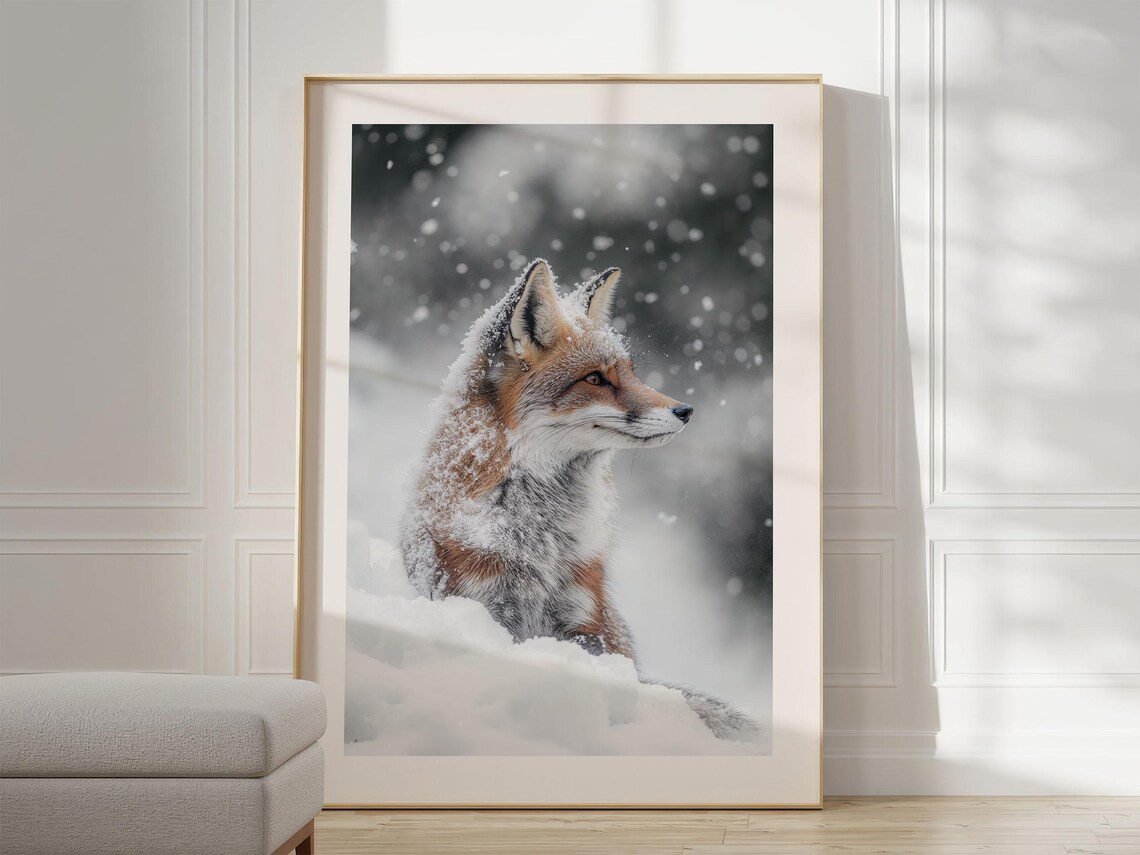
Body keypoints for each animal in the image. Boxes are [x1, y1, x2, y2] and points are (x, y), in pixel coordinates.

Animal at [400, 258, 762, 743]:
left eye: (630, 372)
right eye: (595, 379)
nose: (685, 411)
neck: (540, 539)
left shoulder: (586, 617)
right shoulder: (478, 599)